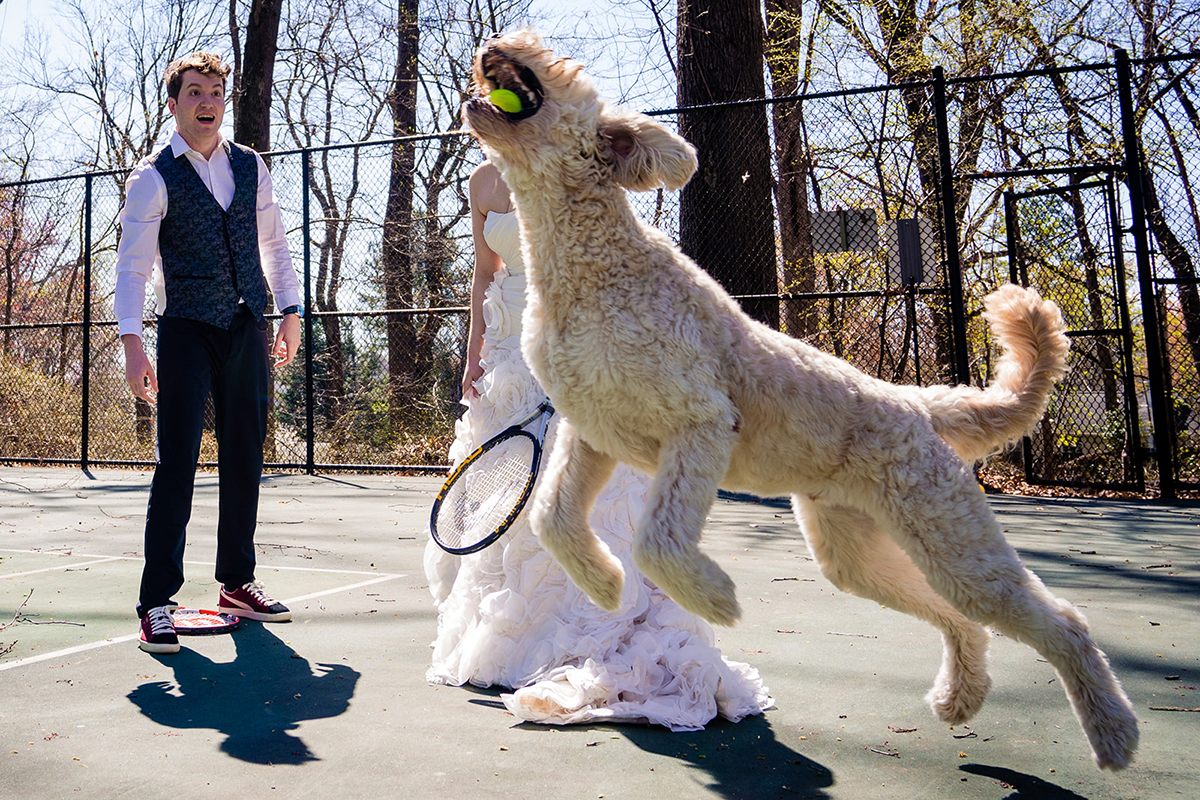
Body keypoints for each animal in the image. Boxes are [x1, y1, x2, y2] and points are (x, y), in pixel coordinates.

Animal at [463, 29, 1137, 767]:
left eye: (559, 62)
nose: (499, 41)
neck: (589, 265)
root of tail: (917, 405)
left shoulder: (701, 423)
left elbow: (658, 541)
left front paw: (716, 598)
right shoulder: (593, 433)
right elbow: (552, 518)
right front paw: (606, 584)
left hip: (954, 543)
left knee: (1063, 621)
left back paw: (1114, 734)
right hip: (858, 556)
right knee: (962, 620)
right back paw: (959, 698)